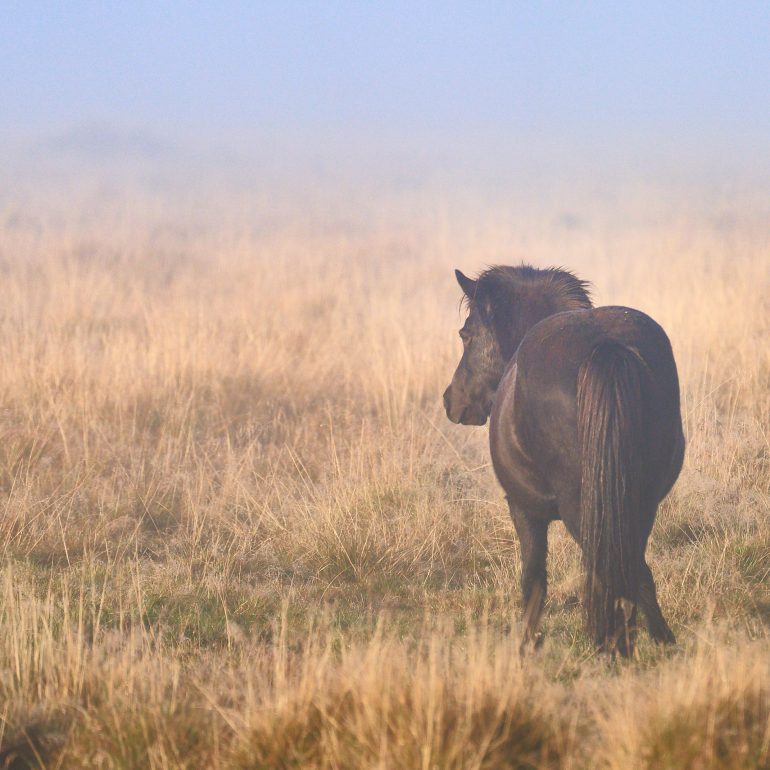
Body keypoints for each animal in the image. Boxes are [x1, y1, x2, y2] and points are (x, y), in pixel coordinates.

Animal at [443, 265, 684, 656]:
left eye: (466, 334)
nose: (451, 401)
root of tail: (605, 347)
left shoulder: (522, 508)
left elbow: (533, 579)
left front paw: (525, 644)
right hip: (639, 502)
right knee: (634, 568)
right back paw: (657, 641)